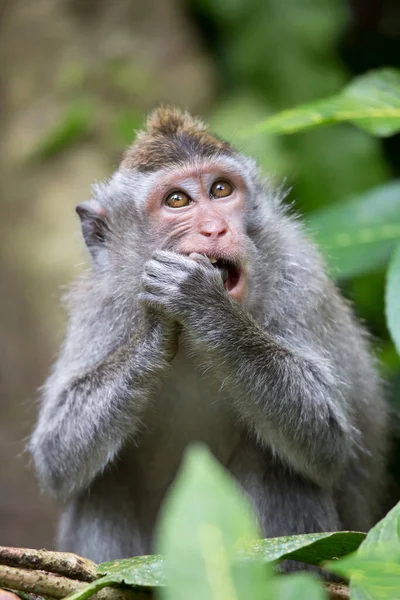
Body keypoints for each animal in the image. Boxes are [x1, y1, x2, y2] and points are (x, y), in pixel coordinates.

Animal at [29, 105, 390, 564]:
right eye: (177, 200)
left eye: (221, 190)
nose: (216, 228)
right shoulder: (99, 306)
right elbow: (56, 455)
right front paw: (155, 330)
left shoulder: (298, 276)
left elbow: (328, 442)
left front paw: (203, 305)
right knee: (98, 483)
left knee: (280, 467)